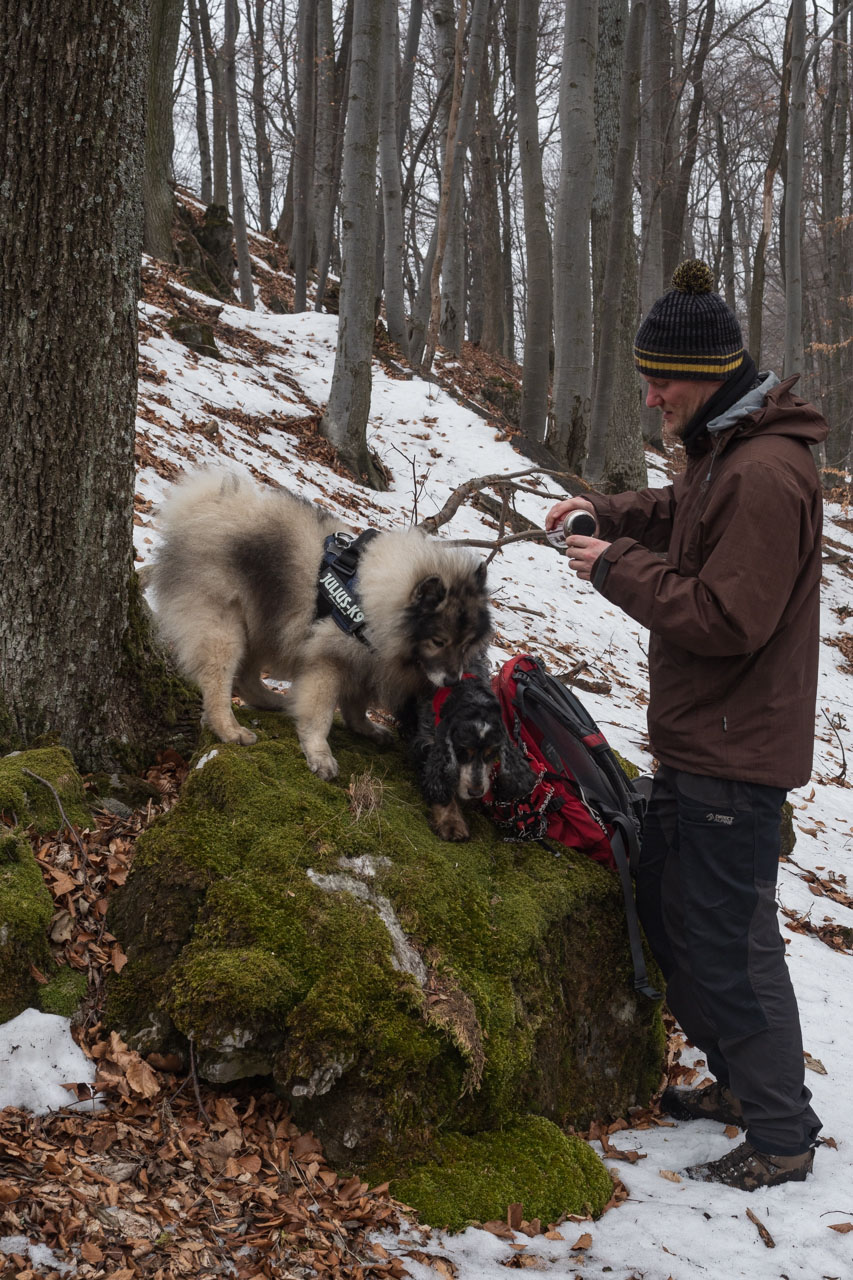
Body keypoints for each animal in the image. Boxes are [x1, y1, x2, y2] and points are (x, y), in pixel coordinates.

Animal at [147, 471, 491, 778]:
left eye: (465, 645)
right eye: (438, 641)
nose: (453, 680)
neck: (373, 601)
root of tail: (204, 507)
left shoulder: (364, 663)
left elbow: (356, 706)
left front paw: (365, 728)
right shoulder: (329, 661)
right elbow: (321, 714)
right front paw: (319, 754)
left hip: (266, 622)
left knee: (246, 677)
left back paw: (273, 701)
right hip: (226, 626)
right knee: (218, 680)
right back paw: (230, 729)